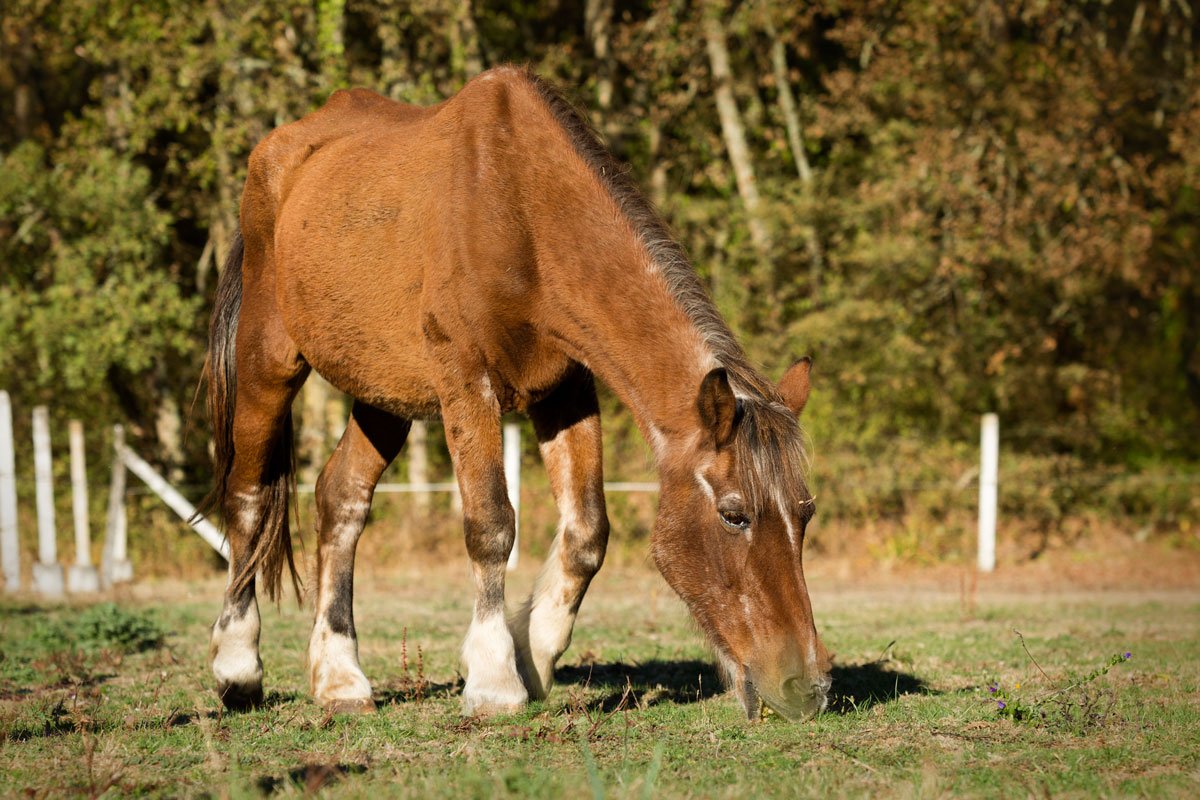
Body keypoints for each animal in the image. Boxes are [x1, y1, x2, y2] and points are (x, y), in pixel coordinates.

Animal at [201, 65, 830, 724]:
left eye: (806, 513)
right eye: (734, 514)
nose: (807, 687)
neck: (522, 210)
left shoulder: (566, 390)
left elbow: (587, 532)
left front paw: (533, 656)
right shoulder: (464, 382)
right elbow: (491, 525)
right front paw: (495, 680)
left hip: (384, 393)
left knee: (341, 500)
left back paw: (340, 678)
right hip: (269, 358)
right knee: (247, 497)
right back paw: (237, 668)